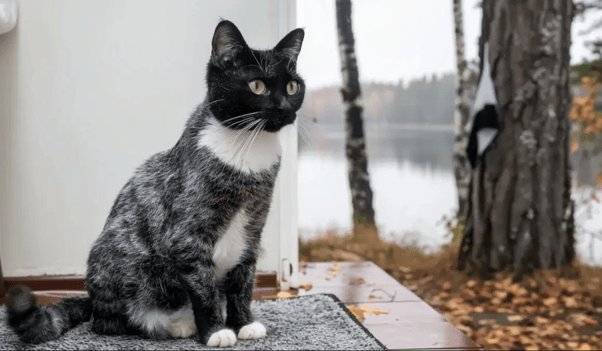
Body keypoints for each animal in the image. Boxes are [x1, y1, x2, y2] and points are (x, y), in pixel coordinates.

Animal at [4, 17, 302, 348]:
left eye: (292, 86)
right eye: (257, 86)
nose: (283, 107)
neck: (248, 148)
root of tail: (91, 299)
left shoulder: (252, 228)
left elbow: (243, 281)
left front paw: (243, 324)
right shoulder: (187, 236)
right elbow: (203, 287)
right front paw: (215, 330)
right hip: (124, 264)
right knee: (111, 321)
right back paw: (174, 324)